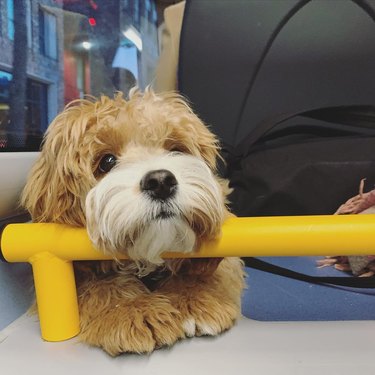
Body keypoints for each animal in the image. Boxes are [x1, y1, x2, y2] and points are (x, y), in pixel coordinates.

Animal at [21, 89, 247, 356]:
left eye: (176, 149)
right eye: (106, 162)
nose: (160, 182)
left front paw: (194, 296)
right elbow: (100, 284)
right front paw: (132, 308)